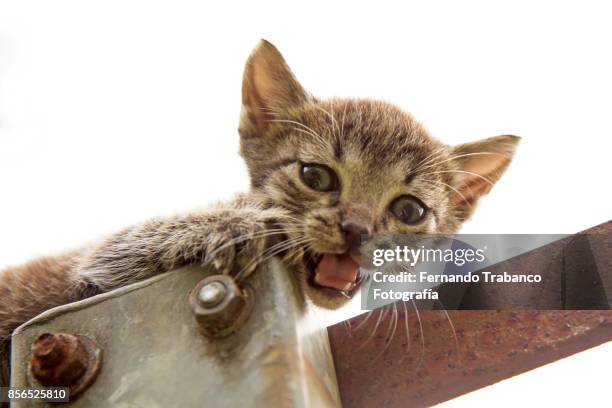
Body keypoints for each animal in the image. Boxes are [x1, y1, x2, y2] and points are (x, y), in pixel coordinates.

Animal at [0, 39, 520, 386]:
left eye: (409, 209)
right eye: (316, 177)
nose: (356, 229)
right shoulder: (87, 270)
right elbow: (124, 246)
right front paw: (231, 224)